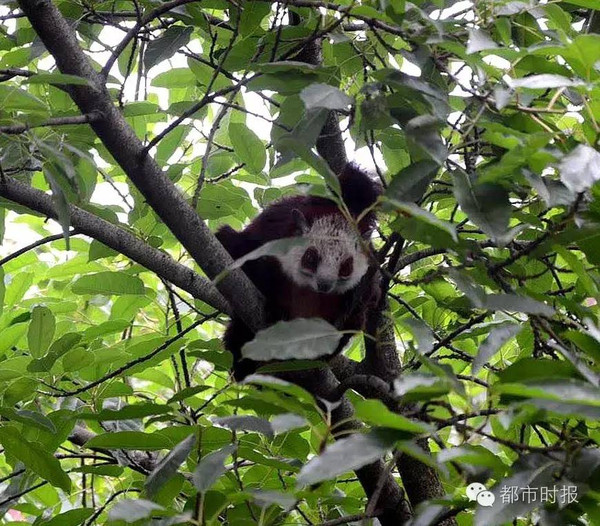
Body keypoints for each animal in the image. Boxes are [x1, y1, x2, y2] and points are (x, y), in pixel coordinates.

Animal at [218, 165, 382, 380]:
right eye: (311, 257)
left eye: (346, 267)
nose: (324, 284)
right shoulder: (270, 227)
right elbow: (235, 249)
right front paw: (275, 305)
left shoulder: (370, 270)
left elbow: (365, 298)